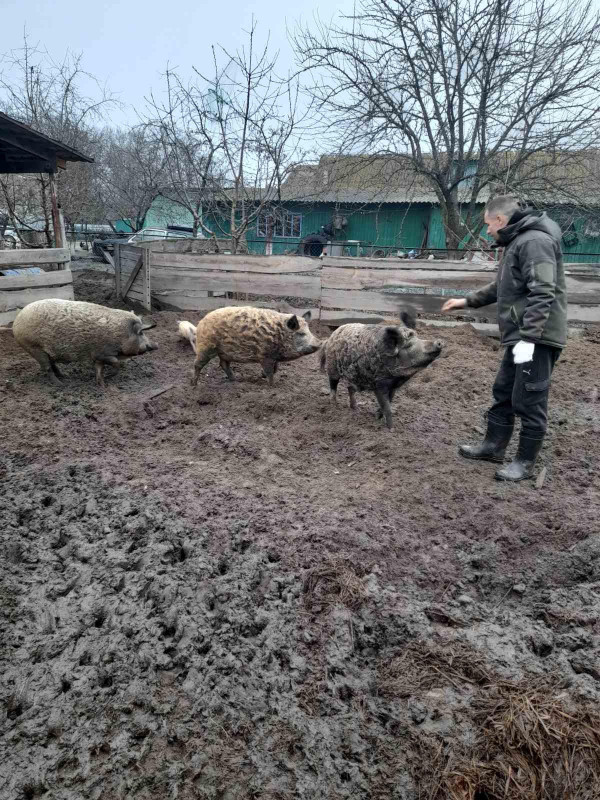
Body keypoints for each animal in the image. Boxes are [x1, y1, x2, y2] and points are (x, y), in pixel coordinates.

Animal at [12, 298, 157, 390]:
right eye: (141, 333)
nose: (155, 345)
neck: (120, 334)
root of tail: (16, 321)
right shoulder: (102, 353)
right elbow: (116, 364)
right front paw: (108, 378)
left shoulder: (98, 356)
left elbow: (99, 370)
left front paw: (102, 386)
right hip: (34, 347)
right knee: (47, 367)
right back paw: (61, 384)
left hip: (45, 351)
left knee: (52, 364)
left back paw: (64, 376)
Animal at [182, 304, 324, 386]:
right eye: (301, 333)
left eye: (309, 330)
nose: (319, 342)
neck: (279, 335)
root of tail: (200, 324)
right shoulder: (265, 355)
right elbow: (270, 372)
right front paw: (272, 386)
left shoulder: (274, 357)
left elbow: (275, 369)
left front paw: (262, 376)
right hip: (206, 347)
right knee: (197, 364)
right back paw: (193, 384)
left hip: (224, 353)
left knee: (223, 364)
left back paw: (235, 380)